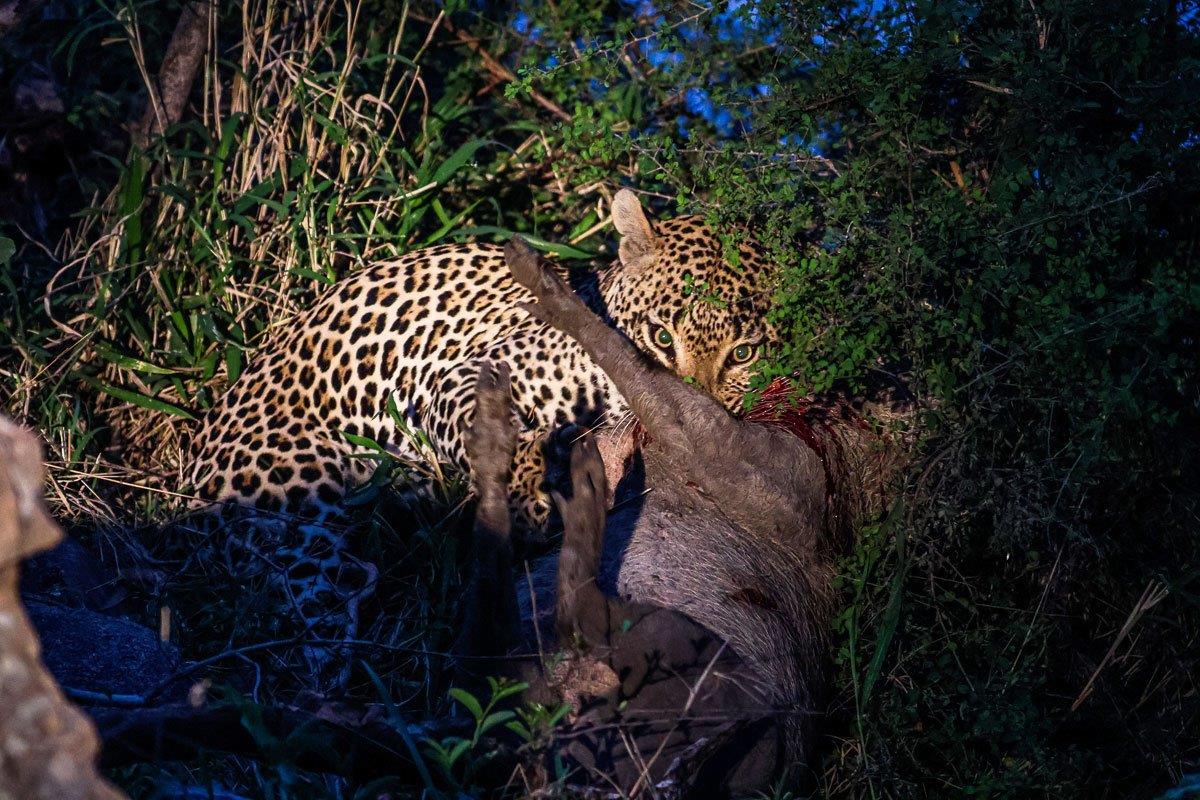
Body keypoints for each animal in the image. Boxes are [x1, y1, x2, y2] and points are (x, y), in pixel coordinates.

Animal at [187, 189, 780, 532]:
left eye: (742, 354)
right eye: (660, 337)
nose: (690, 423)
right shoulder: (454, 376)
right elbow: (488, 431)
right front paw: (523, 497)